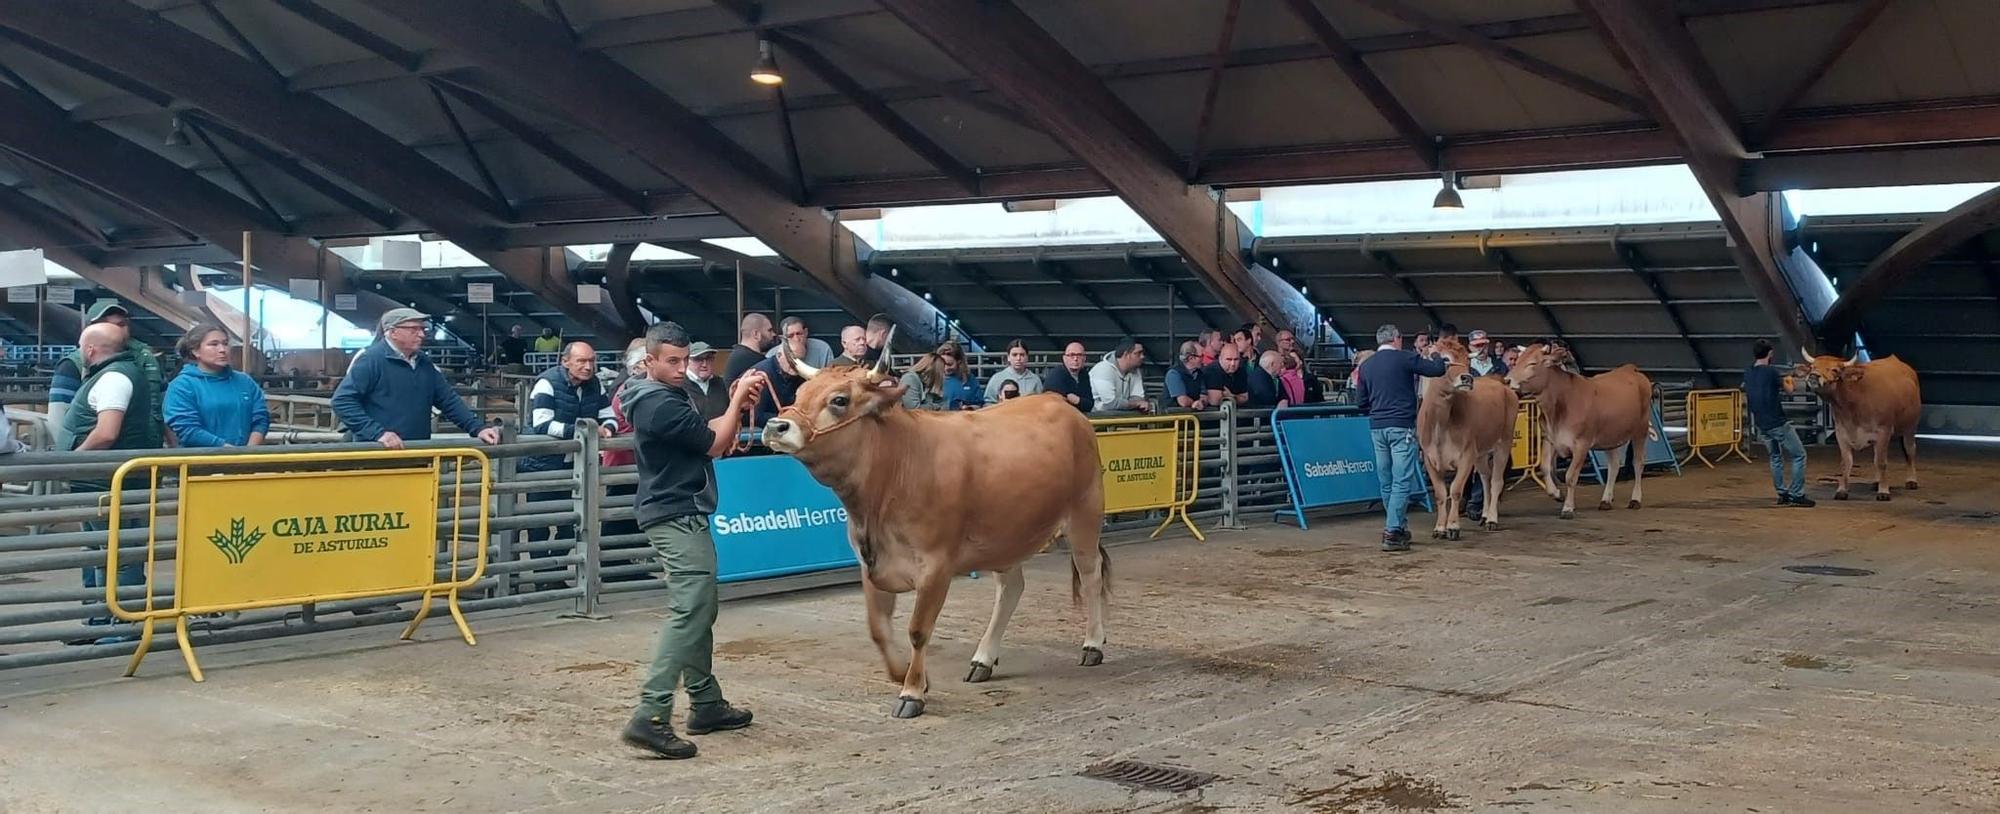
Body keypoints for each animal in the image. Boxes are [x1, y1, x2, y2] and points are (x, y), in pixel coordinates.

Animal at [760, 332, 1120, 720]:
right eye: (798, 394)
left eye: (839, 400)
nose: (775, 426)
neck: (895, 469)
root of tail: (1060, 404)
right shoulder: (870, 563)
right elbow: (878, 629)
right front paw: (905, 674)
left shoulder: (936, 566)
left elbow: (918, 630)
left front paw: (912, 692)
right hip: (1006, 534)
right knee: (1011, 589)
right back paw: (983, 659)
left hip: (1085, 516)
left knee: (1090, 575)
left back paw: (1092, 644)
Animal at [1424, 338, 1512, 540]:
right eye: (1445, 359)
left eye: (1467, 361)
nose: (1468, 378)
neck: (1441, 422)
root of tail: (1498, 381)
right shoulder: (1429, 458)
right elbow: (1440, 494)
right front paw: (1439, 528)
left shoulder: (1466, 455)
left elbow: (1456, 490)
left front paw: (1453, 527)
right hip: (1481, 452)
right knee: (1486, 478)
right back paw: (1484, 515)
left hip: (1504, 443)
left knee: (1496, 481)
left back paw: (1492, 520)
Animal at [1504, 342, 1648, 520]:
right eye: (1516, 361)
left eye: (1532, 363)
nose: (1507, 380)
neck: (1561, 405)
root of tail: (1630, 369)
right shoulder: (1550, 438)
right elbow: (1545, 468)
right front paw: (1557, 494)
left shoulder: (1581, 444)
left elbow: (1570, 476)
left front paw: (1567, 508)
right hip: (1610, 437)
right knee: (1614, 465)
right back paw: (1606, 500)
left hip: (1641, 430)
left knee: (1638, 463)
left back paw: (1635, 499)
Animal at [1800, 352, 1920, 500]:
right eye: (1812, 367)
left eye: (1835, 370)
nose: (1813, 376)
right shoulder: (1841, 433)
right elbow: (1846, 463)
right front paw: (1842, 490)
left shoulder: (1884, 431)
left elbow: (1882, 462)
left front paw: (1884, 492)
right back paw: (1876, 482)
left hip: (1910, 428)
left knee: (1910, 451)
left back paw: (1911, 480)